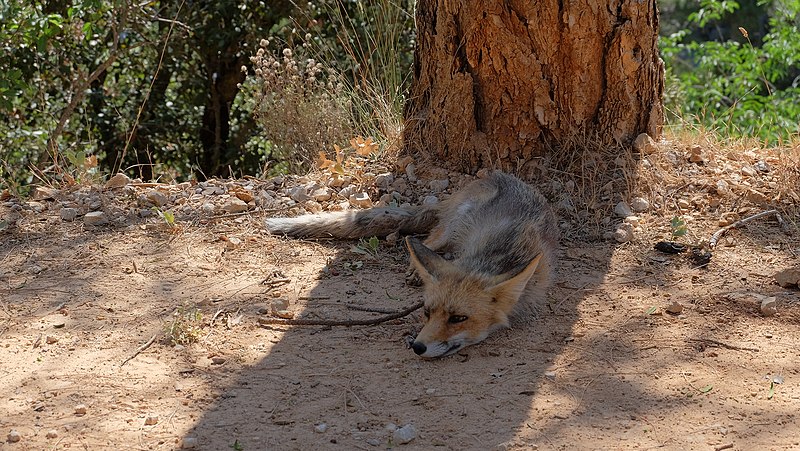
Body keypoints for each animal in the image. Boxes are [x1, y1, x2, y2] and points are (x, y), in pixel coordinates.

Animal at [266, 172, 560, 360]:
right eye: (427, 312)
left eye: (458, 318)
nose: (417, 346)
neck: (495, 255)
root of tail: (491, 177)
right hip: (451, 229)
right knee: (425, 240)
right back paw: (414, 269)